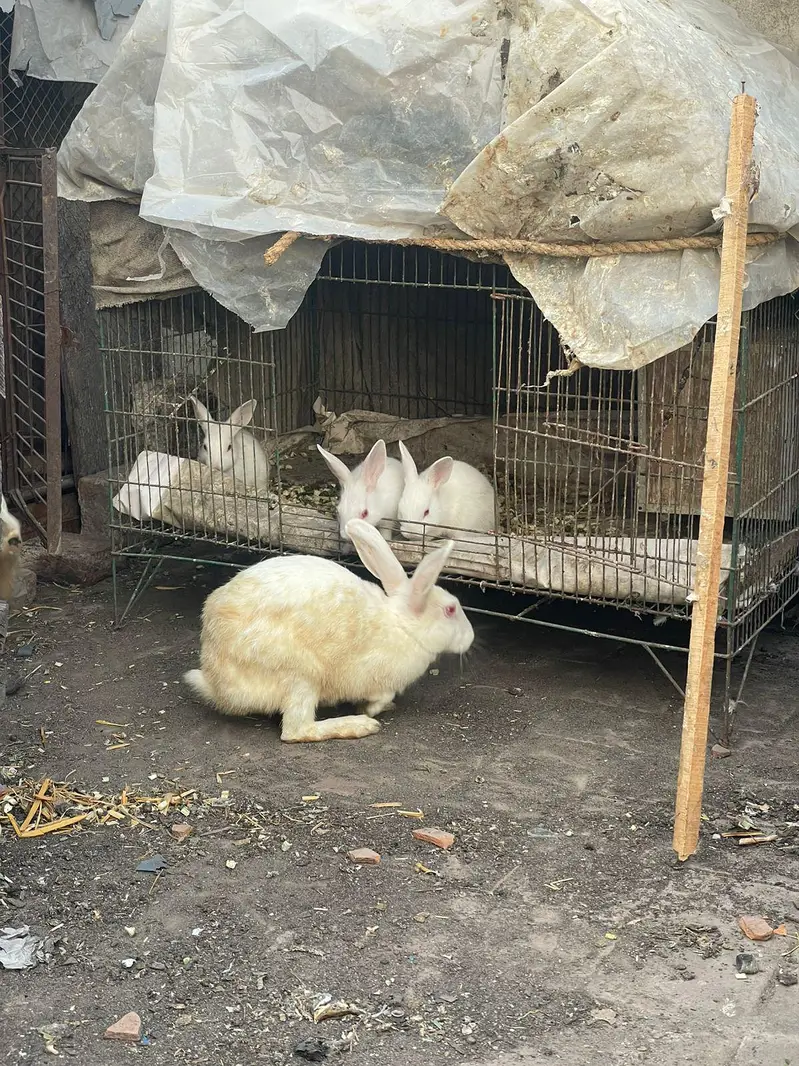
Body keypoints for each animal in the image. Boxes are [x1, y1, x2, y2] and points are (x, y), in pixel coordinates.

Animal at [183, 517, 473, 742]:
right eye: (450, 610)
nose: (470, 637)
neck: (402, 625)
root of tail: (217, 683)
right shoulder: (374, 676)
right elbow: (380, 695)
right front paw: (373, 709)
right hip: (300, 674)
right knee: (296, 731)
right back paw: (358, 726)